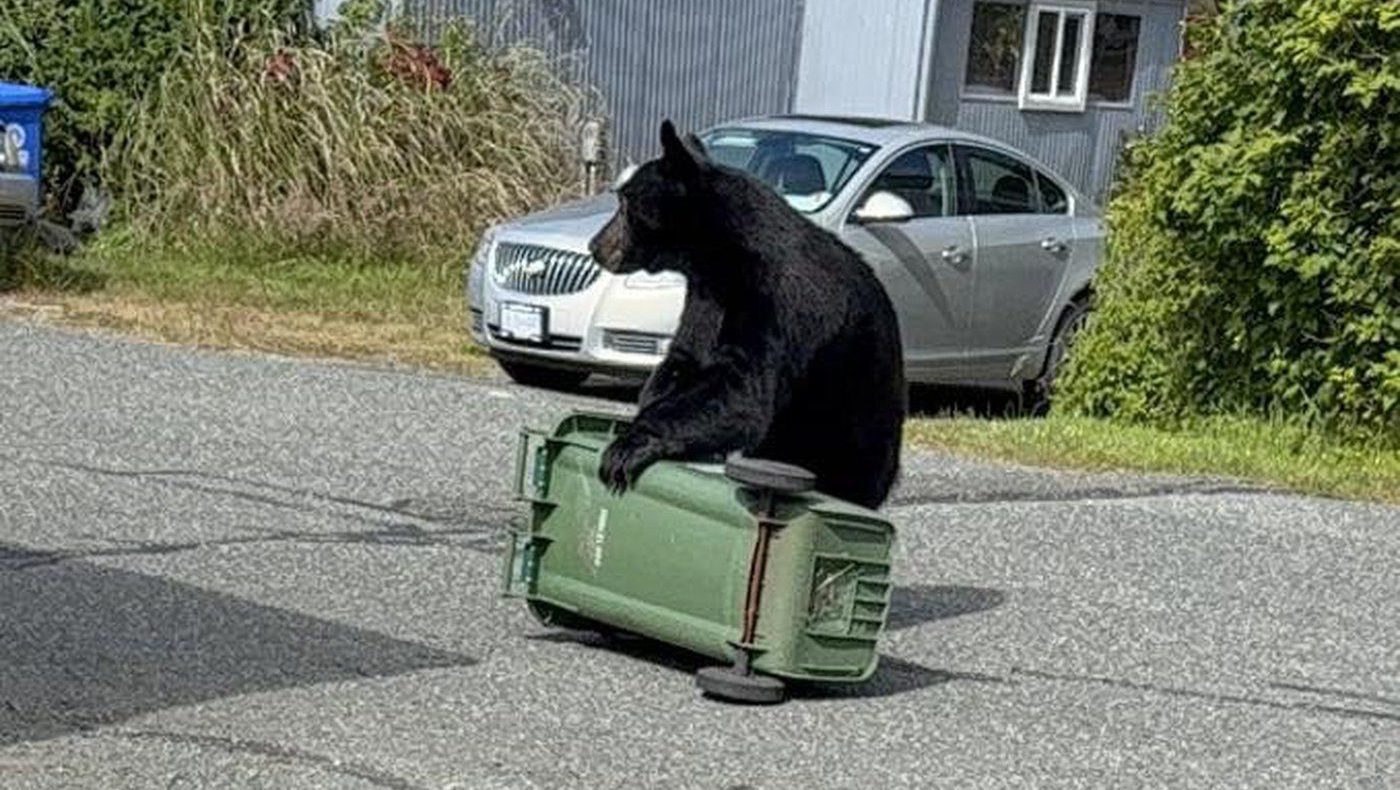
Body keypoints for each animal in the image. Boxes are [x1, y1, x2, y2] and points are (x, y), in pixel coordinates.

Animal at [587, 120, 905, 510]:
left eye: (624, 202)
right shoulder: (705, 296)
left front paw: (627, 445)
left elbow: (743, 390)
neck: (719, 254)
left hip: (852, 433)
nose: (595, 245)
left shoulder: (774, 298)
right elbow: (685, 358)